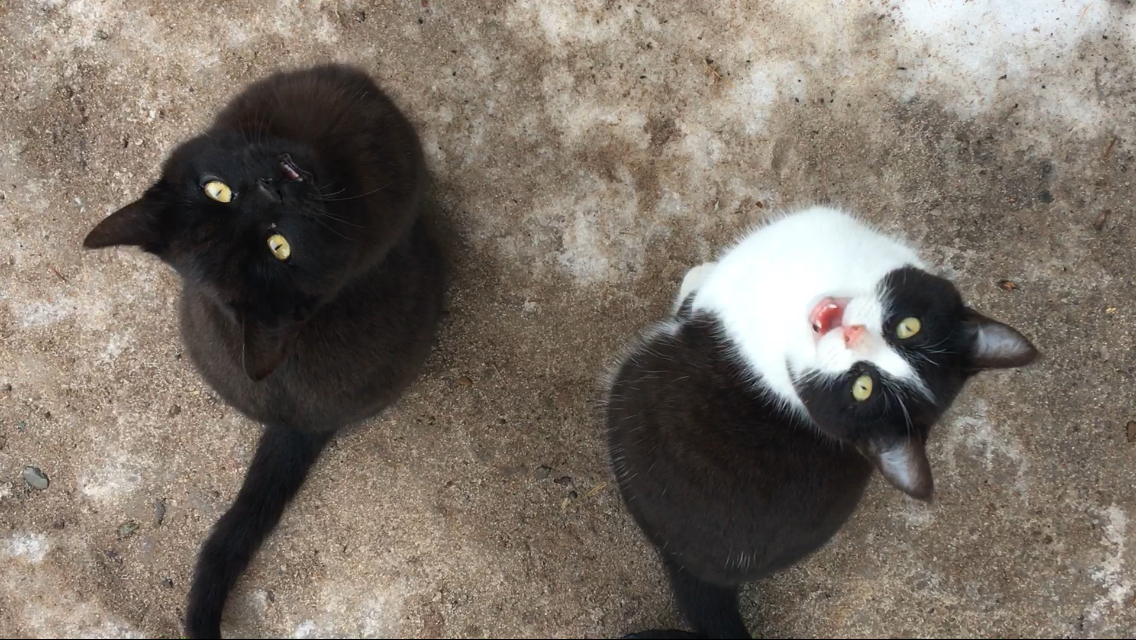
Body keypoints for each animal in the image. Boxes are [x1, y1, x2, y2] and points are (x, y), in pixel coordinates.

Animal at [605, 207, 1038, 639]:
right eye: (909, 327)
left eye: (861, 388)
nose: (852, 334)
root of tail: (708, 575)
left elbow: (695, 298)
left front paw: (697, 274)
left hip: (635, 388)